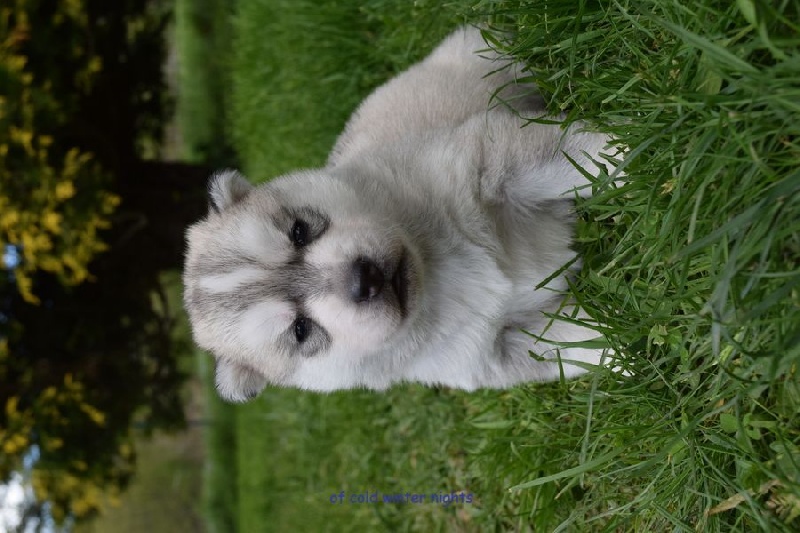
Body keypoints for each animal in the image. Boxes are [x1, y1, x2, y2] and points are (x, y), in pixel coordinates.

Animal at [183, 26, 611, 401]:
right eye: (301, 330)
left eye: (299, 232)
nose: (365, 279)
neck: (435, 268)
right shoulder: (492, 353)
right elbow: (578, 344)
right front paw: (618, 350)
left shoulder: (485, 160)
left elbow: (582, 155)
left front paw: (621, 154)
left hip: (484, 56)